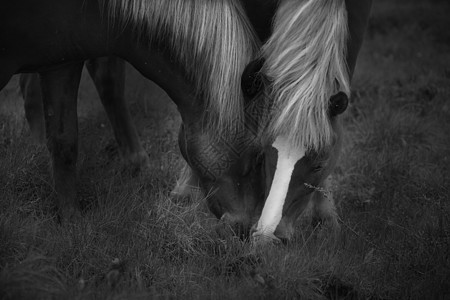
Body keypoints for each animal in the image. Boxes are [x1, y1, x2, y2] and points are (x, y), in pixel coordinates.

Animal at [1, 0, 370, 243]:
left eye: (320, 165)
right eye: (257, 157)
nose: (248, 231)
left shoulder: (60, 61)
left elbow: (65, 140)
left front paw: (71, 221)